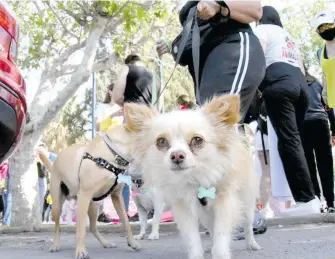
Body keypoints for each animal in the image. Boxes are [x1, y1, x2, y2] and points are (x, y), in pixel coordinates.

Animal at [39, 125, 140, 258]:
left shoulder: (117, 196)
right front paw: (80, 250)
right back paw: (55, 245)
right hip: (57, 206)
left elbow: (126, 223)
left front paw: (132, 243)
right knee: (57, 227)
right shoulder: (84, 196)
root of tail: (55, 164)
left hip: (94, 206)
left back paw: (105, 243)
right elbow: (80, 228)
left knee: (92, 227)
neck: (112, 155)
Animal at [124, 95, 262, 259]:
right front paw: (198, 254)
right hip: (206, 215)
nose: (177, 155)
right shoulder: (184, 208)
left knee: (247, 225)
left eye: (197, 140)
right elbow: (192, 237)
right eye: (161, 141)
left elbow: (221, 232)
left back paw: (252, 244)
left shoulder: (225, 203)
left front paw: (220, 253)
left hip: (247, 204)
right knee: (211, 228)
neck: (195, 180)